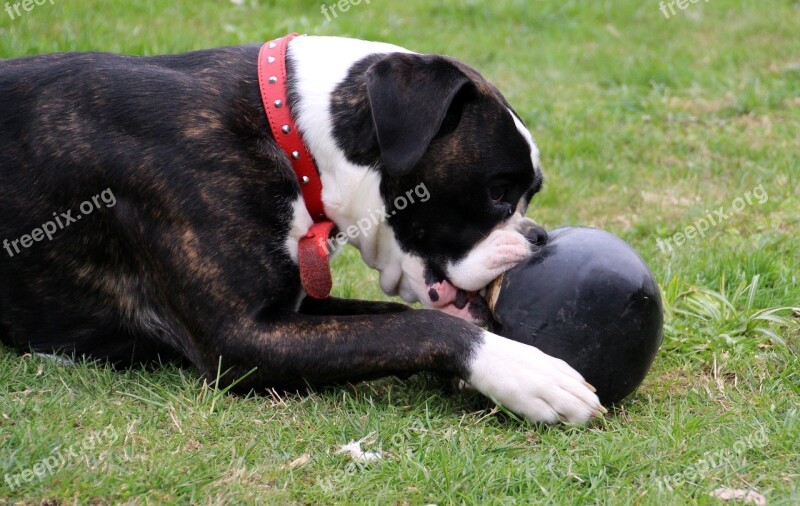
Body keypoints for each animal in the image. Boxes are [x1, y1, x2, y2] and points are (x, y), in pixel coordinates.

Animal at [0, 33, 600, 424]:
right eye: (497, 192)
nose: (539, 237)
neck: (291, 133)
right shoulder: (242, 338)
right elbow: (416, 327)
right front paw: (525, 371)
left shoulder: (293, 309)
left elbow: (389, 320)